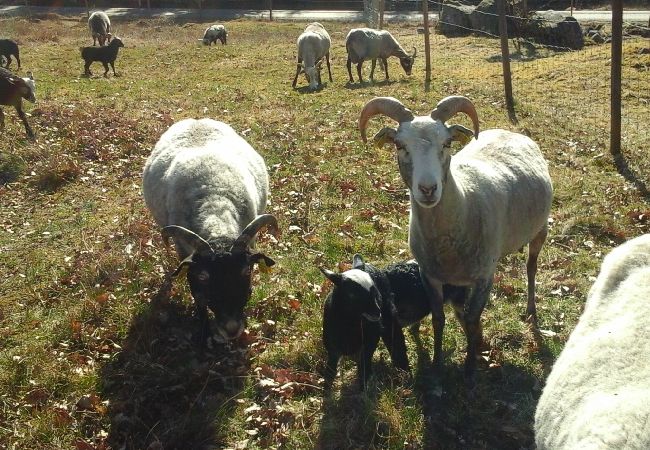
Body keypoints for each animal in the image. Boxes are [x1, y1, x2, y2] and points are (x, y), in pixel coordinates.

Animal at [143, 118, 278, 342]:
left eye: (246, 270)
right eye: (203, 276)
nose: (231, 329)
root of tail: (196, 119)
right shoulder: (186, 256)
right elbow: (199, 299)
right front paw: (205, 333)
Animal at [320, 253, 466, 386]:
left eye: (376, 291)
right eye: (352, 294)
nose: (377, 311)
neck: (349, 323)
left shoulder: (372, 338)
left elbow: (367, 363)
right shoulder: (332, 347)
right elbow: (330, 372)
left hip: (459, 300)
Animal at [360, 95, 552, 386]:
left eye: (447, 143)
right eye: (400, 145)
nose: (428, 189)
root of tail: (510, 132)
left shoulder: (485, 276)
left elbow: (472, 319)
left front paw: (470, 369)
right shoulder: (429, 275)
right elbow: (439, 319)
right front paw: (438, 364)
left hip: (540, 229)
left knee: (531, 268)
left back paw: (530, 309)